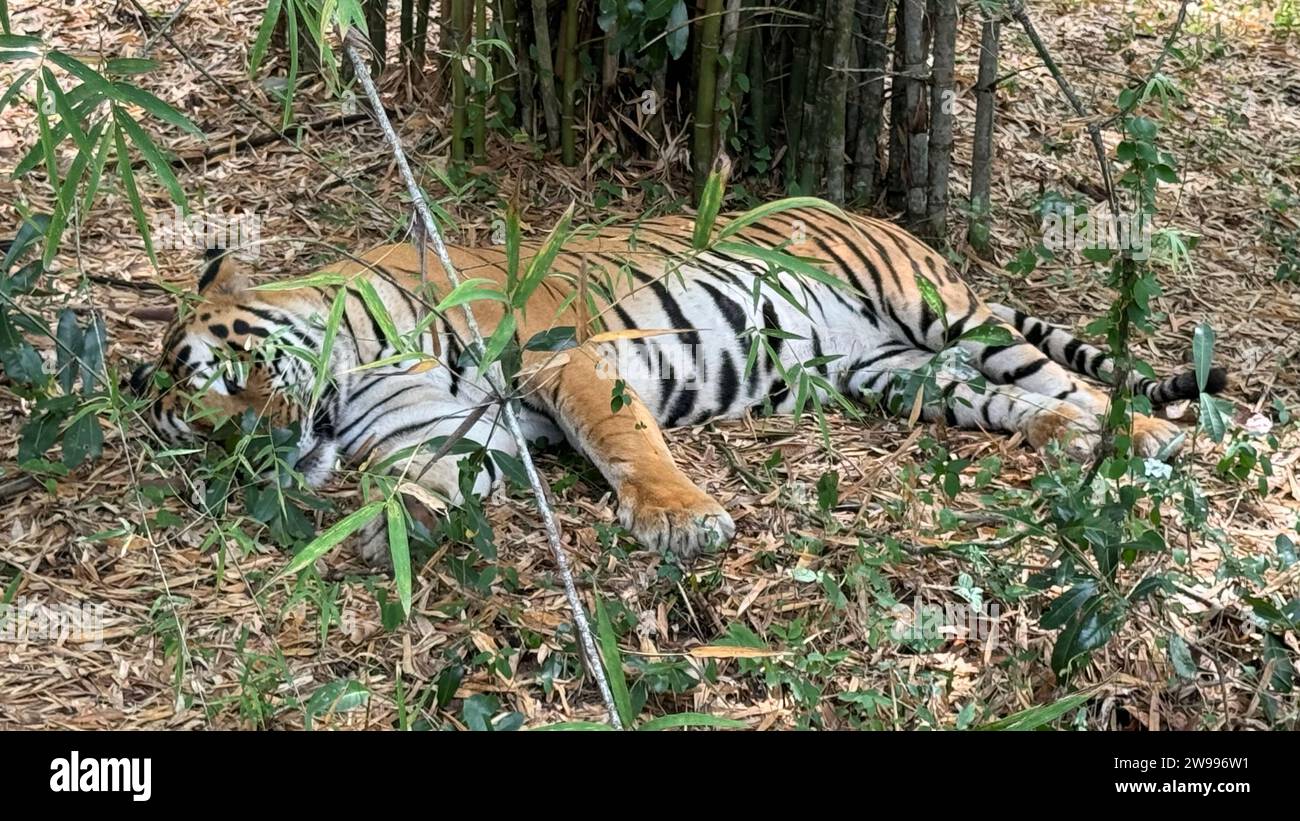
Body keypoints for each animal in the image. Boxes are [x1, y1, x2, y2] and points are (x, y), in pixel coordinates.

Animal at [130, 206, 1227, 565]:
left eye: (218, 376)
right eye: (194, 434)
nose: (251, 447)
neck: (354, 372)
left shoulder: (566, 358)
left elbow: (627, 443)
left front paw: (681, 519)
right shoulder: (452, 436)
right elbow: (418, 487)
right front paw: (378, 534)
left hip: (943, 314)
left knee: (1081, 385)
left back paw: (1156, 441)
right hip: (901, 375)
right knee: (1018, 400)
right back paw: (1068, 439)